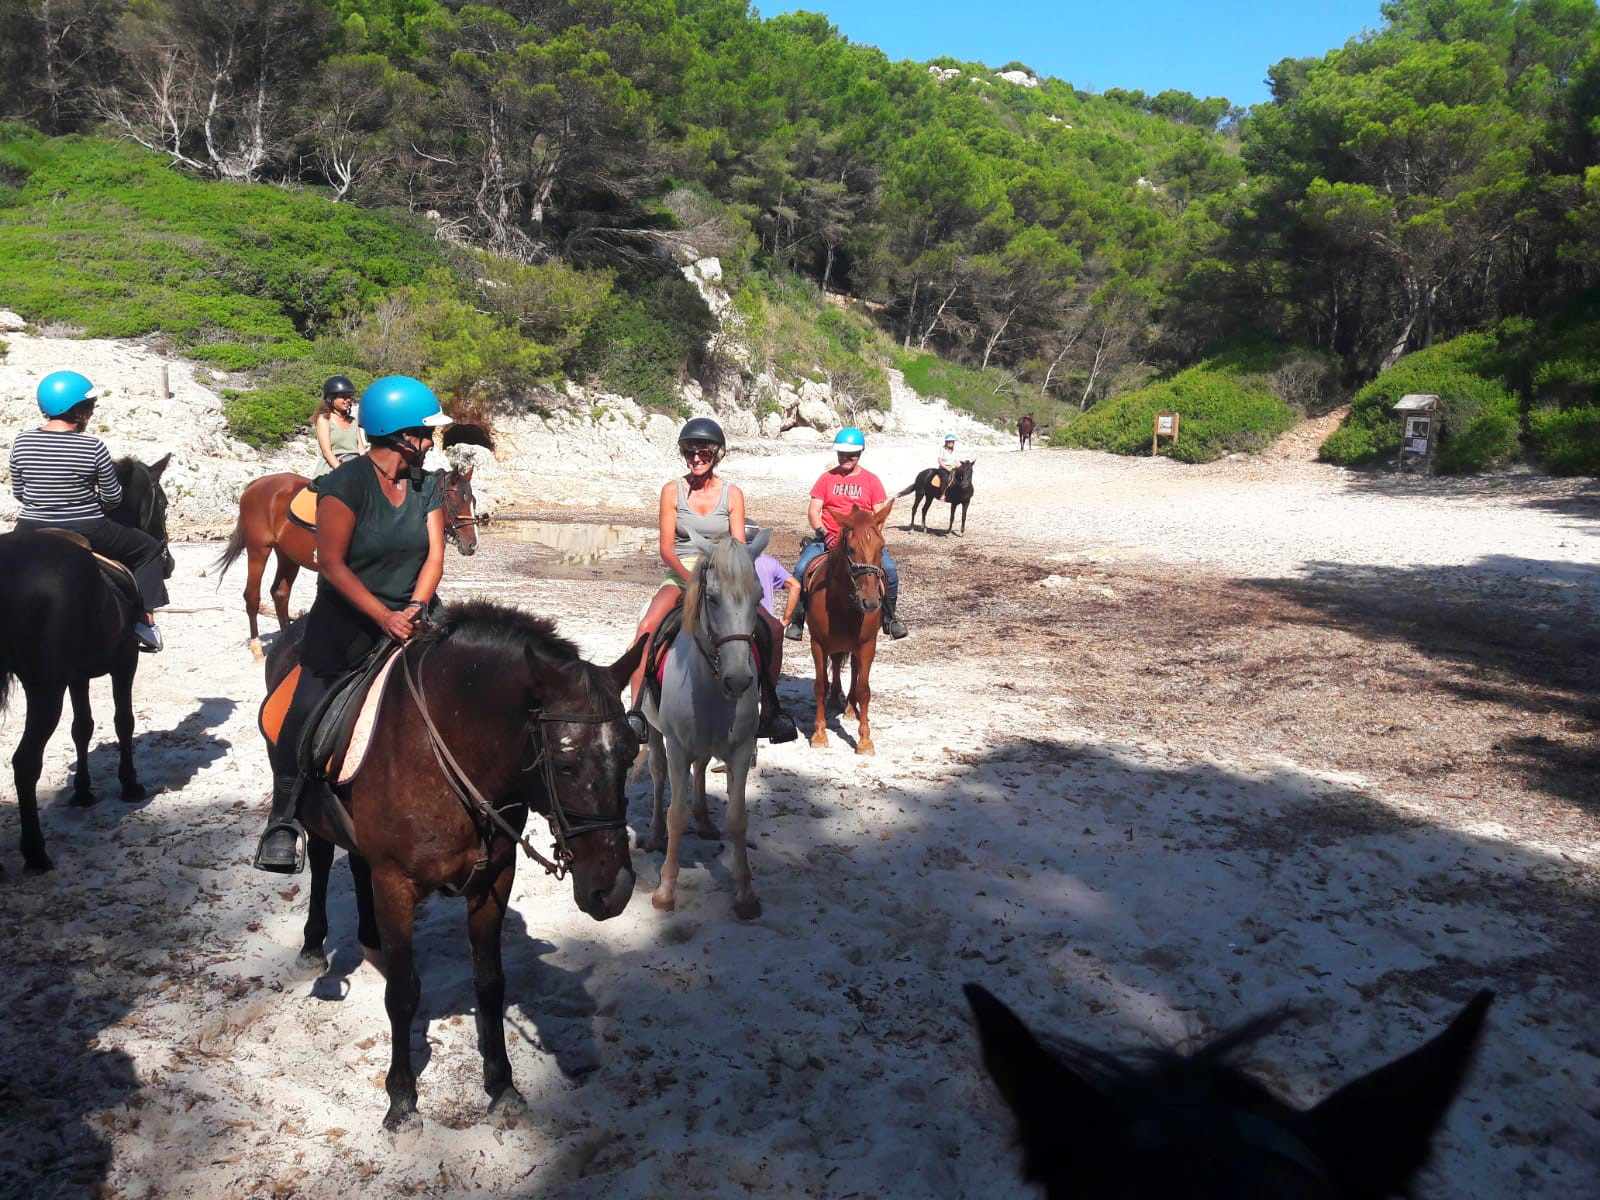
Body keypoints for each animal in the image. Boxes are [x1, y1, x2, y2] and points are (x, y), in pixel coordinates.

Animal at [0, 454, 173, 870]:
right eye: (163, 504)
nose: (170, 564)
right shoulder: (126, 661)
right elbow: (124, 721)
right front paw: (130, 783)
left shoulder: (76, 676)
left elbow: (83, 727)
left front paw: (82, 791)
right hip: (45, 690)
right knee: (25, 762)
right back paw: (35, 851)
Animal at [636, 528, 768, 921]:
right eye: (711, 597)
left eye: (758, 596)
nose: (738, 681)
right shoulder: (677, 747)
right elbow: (675, 816)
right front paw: (665, 891)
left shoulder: (740, 750)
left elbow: (738, 820)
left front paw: (745, 894)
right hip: (657, 736)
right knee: (659, 777)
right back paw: (653, 835)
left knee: (701, 769)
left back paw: (705, 820)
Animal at [806, 502, 896, 755]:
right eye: (851, 548)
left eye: (881, 546)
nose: (871, 602)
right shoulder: (818, 644)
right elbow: (820, 686)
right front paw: (819, 735)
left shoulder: (867, 646)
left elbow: (864, 689)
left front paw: (865, 740)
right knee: (837, 664)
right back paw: (836, 698)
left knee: (854, 669)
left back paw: (848, 707)